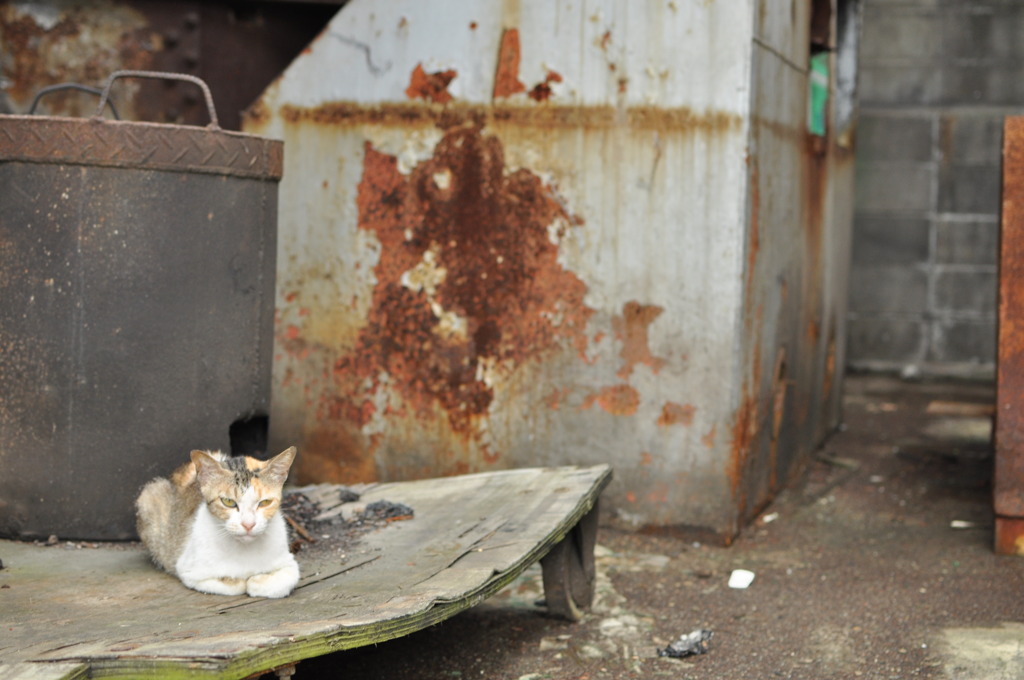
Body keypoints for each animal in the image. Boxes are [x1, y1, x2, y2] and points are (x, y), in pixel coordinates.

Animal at [135, 448, 299, 598]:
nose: (248, 524)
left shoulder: (289, 564)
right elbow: (236, 585)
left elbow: (279, 583)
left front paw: (257, 580)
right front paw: (244, 580)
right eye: (228, 502)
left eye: (265, 502)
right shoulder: (189, 571)